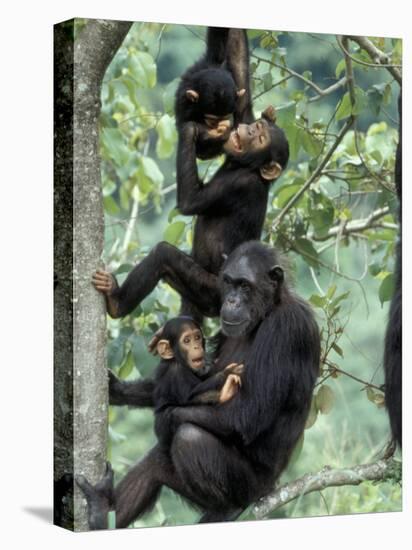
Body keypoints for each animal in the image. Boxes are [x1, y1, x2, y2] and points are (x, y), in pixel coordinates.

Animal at [150, 316, 241, 450]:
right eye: (187, 340)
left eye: (197, 337)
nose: (196, 347)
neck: (176, 359)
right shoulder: (177, 373)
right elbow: (191, 395)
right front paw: (226, 375)